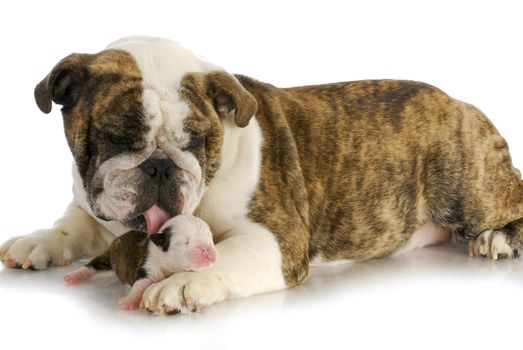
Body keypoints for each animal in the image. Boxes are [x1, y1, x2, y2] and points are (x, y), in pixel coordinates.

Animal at [1, 37, 523, 314]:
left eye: (195, 141)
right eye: (113, 137)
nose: (160, 165)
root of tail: (462, 103)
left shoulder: (275, 240)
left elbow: (224, 257)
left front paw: (180, 283)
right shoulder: (94, 208)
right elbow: (72, 224)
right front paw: (37, 240)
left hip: (466, 186)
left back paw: (497, 238)